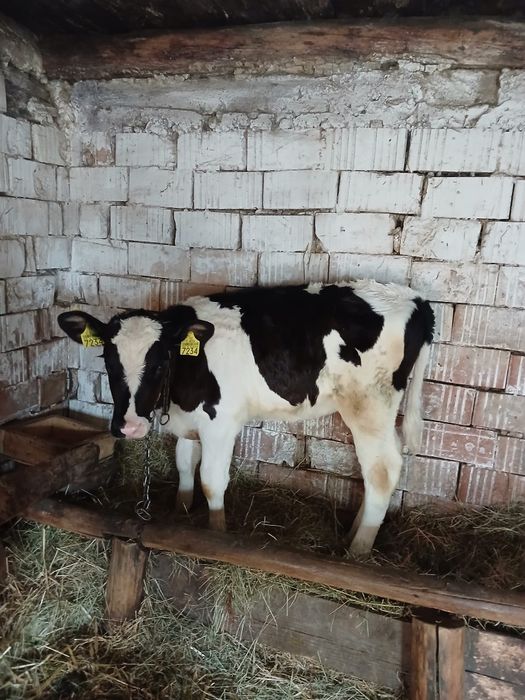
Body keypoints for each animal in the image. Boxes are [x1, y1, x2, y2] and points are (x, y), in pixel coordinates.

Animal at [58, 281, 434, 555]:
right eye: (108, 360)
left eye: (161, 362)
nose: (130, 426)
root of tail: (414, 299)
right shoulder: (190, 422)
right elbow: (184, 466)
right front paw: (180, 515)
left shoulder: (220, 423)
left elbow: (211, 481)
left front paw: (217, 535)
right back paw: (352, 533)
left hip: (368, 405)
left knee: (383, 470)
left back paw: (357, 550)